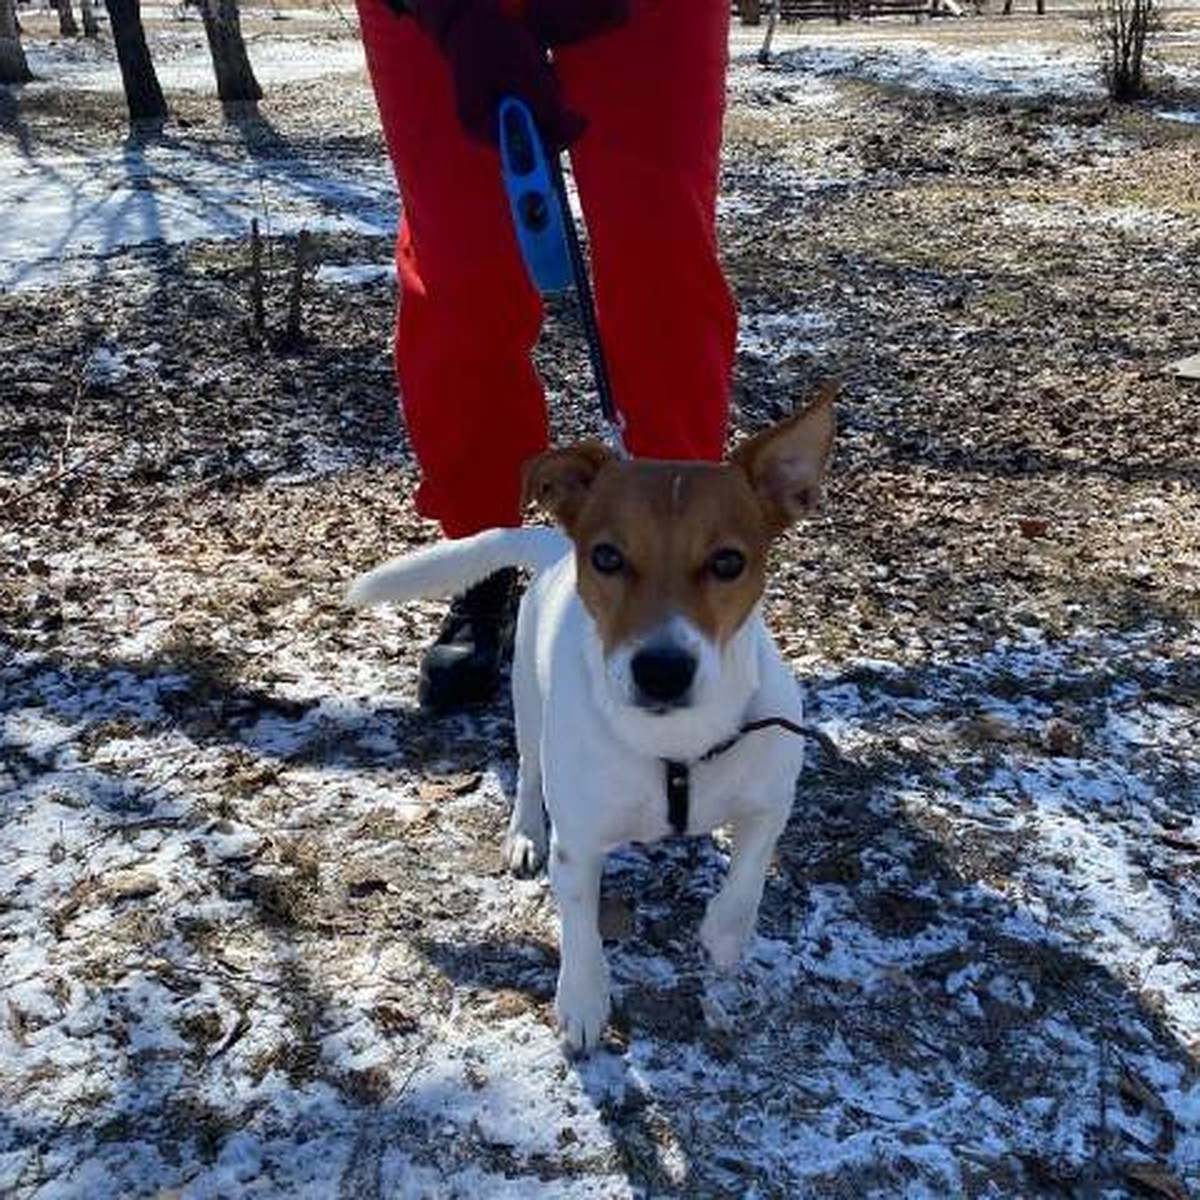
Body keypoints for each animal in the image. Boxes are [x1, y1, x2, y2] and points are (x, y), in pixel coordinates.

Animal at [348, 388, 835, 1056]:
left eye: (728, 562)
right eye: (607, 556)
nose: (662, 670)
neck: (675, 743)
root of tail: (554, 550)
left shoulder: (771, 800)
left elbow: (749, 879)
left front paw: (723, 936)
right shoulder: (578, 847)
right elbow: (580, 932)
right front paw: (582, 1003)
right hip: (529, 708)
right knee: (529, 773)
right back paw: (525, 834)